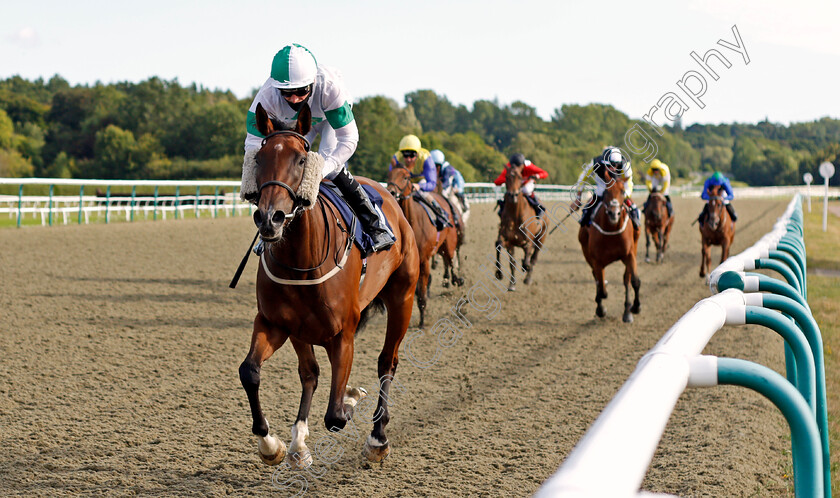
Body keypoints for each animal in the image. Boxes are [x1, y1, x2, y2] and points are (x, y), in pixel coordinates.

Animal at [238, 103, 418, 468]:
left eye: (301, 159)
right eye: (259, 158)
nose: (269, 218)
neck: (301, 262)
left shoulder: (343, 334)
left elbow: (335, 415)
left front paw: (350, 398)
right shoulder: (277, 323)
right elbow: (252, 372)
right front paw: (273, 444)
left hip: (403, 298)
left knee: (387, 362)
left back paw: (377, 437)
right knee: (310, 373)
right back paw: (299, 442)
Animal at [386, 164, 462, 326]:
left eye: (406, 177)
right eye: (389, 175)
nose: (391, 191)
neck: (413, 222)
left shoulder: (424, 261)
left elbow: (422, 294)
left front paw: (422, 320)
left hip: (449, 243)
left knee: (451, 260)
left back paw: (455, 279)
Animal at [492, 161, 544, 292]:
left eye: (520, 177)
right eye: (506, 177)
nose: (513, 195)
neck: (515, 215)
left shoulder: (528, 240)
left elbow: (527, 255)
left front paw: (525, 266)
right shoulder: (508, 240)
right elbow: (508, 257)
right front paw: (504, 277)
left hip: (541, 238)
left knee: (534, 258)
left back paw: (528, 278)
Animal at [576, 173, 644, 322]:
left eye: (623, 191)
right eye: (606, 192)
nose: (614, 213)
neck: (612, 230)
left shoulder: (629, 254)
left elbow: (635, 281)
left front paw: (636, 307)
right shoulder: (596, 261)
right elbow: (601, 287)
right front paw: (601, 308)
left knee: (626, 279)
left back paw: (627, 312)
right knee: (597, 280)